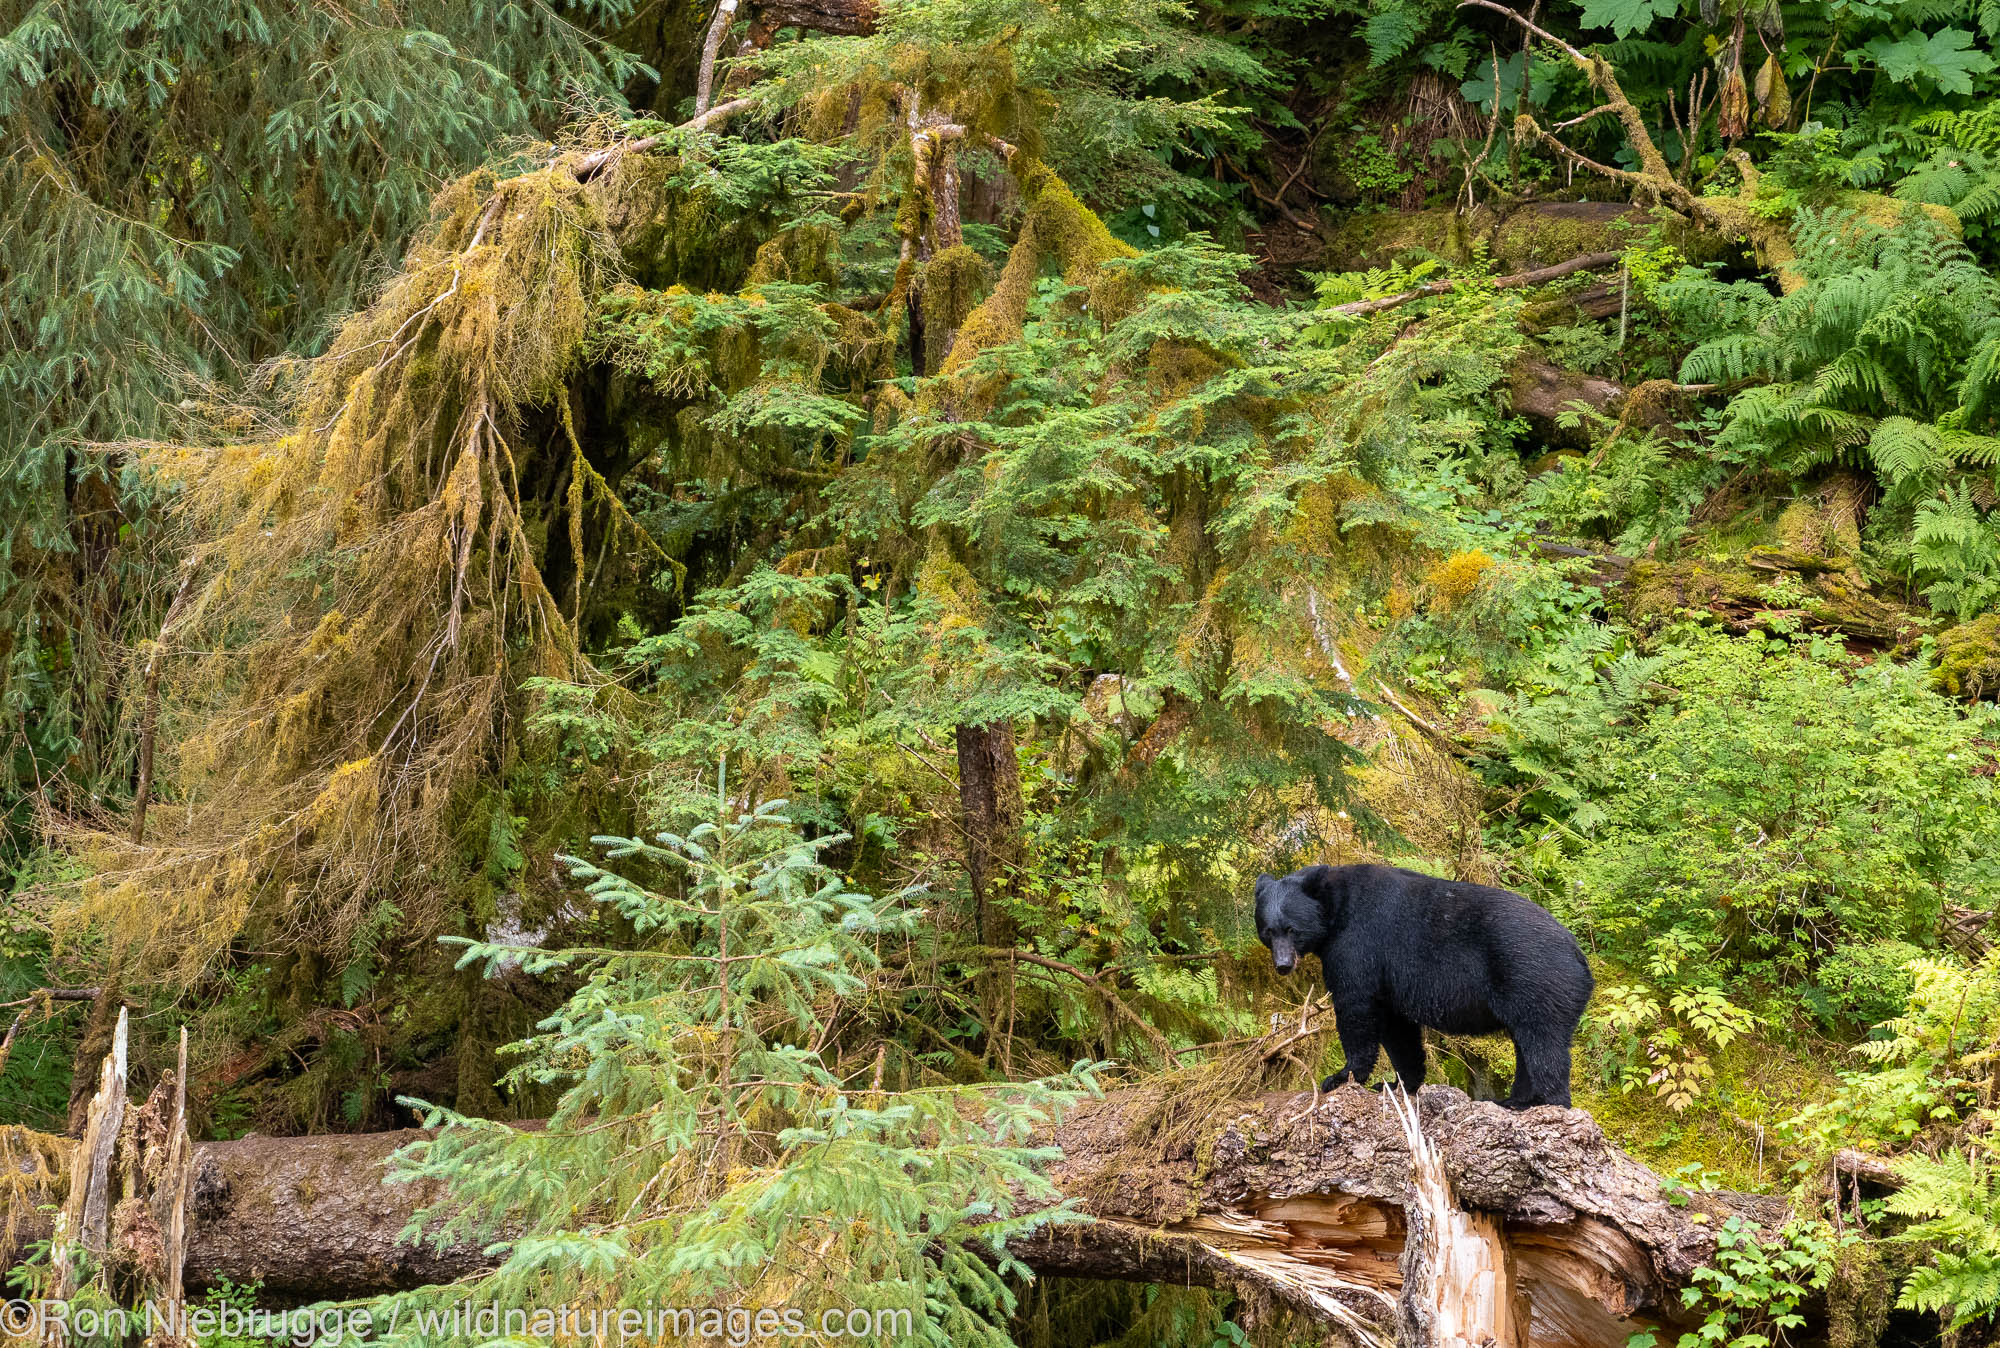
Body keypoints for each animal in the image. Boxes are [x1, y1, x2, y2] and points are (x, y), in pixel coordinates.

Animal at [1248, 860, 1592, 1104]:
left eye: (1292, 929)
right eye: (1268, 931)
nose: (1283, 965)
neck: (1335, 909)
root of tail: (1578, 956)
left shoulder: (1359, 944)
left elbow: (1356, 1007)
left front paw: (1342, 1077)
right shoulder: (1389, 979)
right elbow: (1398, 1030)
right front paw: (1397, 1083)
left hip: (1535, 980)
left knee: (1543, 1043)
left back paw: (1543, 1102)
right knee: (1526, 1043)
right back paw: (1515, 1099)